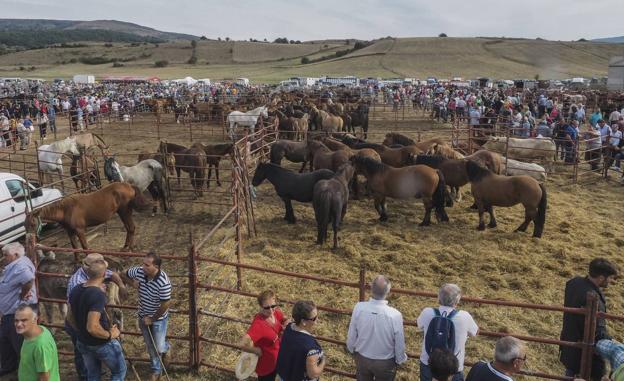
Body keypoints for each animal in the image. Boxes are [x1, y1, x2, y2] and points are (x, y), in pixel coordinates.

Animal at [25, 180, 154, 258]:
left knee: (131, 228)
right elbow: (74, 247)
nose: (30, 239)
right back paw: (125, 247)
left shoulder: (80, 230)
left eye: (32, 224)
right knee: (129, 229)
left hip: (125, 212)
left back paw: (129, 250)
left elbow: (84, 247)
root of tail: (129, 185)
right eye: (24, 225)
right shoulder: (70, 232)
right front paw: (77, 262)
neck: (66, 209)